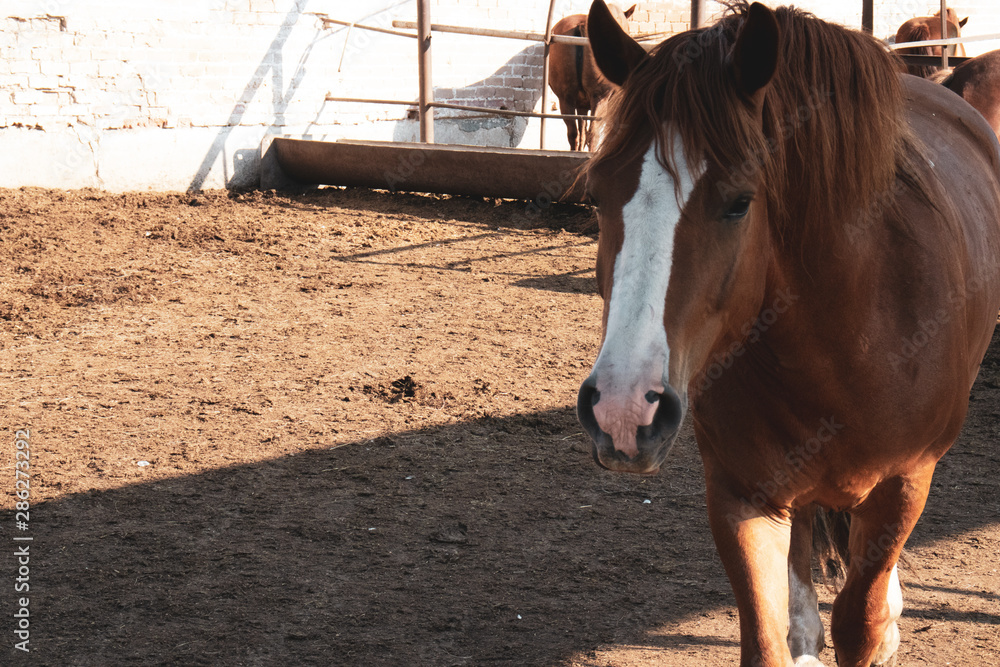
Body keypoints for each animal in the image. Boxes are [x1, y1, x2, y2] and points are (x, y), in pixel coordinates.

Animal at [548, 2, 632, 150]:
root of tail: (582, 25)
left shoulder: (581, 105)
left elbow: (581, 130)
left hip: (566, 98)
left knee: (573, 133)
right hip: (599, 97)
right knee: (593, 133)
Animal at [576, 1, 1000, 667]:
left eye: (739, 202)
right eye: (597, 196)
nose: (622, 411)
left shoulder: (903, 484)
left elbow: (861, 621)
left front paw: (881, 624)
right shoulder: (740, 494)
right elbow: (769, 637)